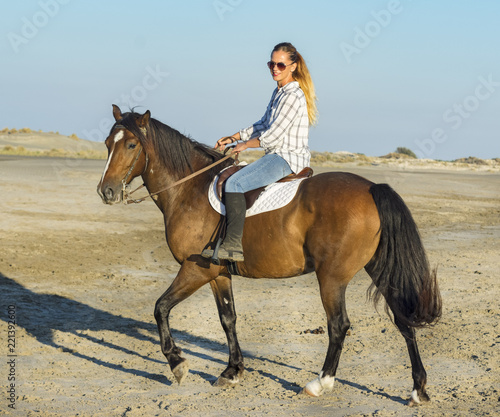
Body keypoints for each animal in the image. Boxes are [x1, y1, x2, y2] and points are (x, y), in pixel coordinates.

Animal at [95, 105, 440, 404]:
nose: (106, 191)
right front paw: (232, 370)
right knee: (402, 320)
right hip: (377, 269)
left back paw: (321, 383)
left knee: (338, 326)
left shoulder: (196, 270)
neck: (190, 190)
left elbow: (160, 308)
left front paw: (177, 363)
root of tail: (371, 188)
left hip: (331, 277)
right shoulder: (219, 273)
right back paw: (418, 390)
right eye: (107, 143)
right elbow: (228, 319)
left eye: (131, 144)